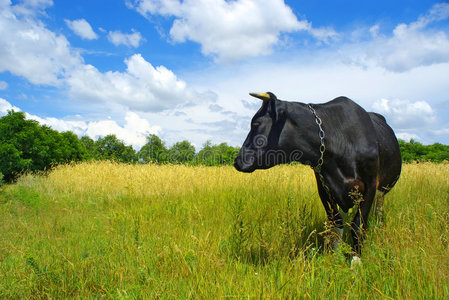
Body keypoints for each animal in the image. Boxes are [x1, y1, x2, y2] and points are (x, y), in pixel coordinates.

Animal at [233, 92, 400, 262]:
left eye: (255, 123)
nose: (237, 161)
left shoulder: (370, 185)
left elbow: (358, 225)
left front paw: (356, 260)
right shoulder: (324, 188)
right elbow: (336, 224)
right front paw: (336, 257)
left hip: (382, 189)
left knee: (379, 211)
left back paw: (379, 229)